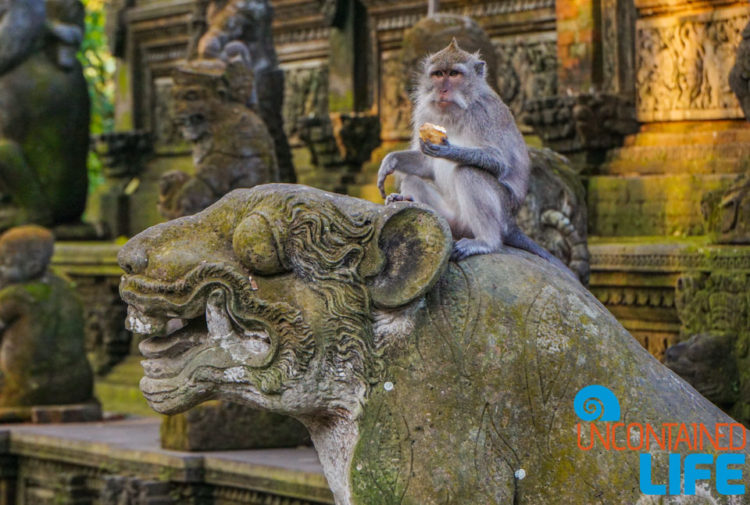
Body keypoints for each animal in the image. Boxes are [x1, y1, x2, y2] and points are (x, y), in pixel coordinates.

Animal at [378, 38, 580, 280]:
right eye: (438, 74)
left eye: (454, 74)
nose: (443, 90)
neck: (456, 110)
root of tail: (512, 223)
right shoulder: (424, 112)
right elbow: (425, 165)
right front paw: (391, 160)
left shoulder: (484, 113)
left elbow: (499, 161)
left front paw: (447, 150)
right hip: (455, 219)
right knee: (413, 180)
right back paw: (407, 198)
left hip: (499, 214)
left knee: (469, 172)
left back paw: (486, 241)